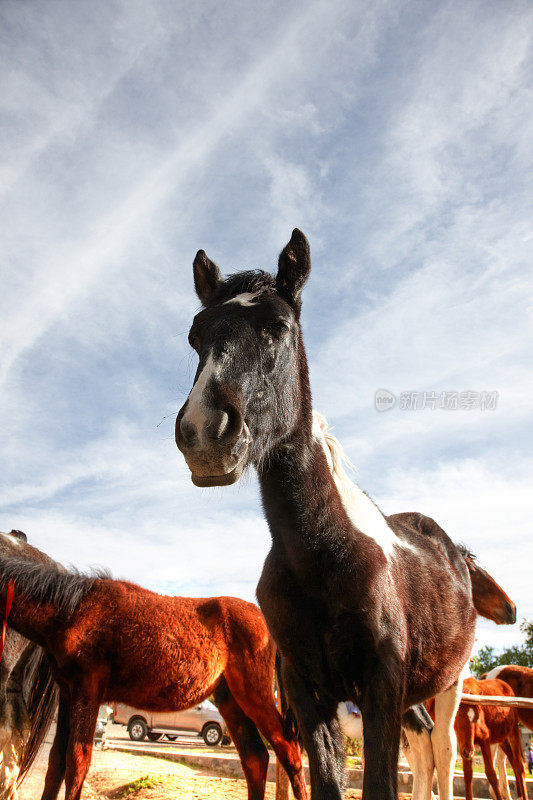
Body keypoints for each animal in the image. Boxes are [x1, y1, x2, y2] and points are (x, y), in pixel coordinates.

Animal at [0, 532, 306, 800]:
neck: (73, 611)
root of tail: (263, 619)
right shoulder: (68, 694)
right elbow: (56, 765)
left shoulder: (87, 692)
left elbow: (77, 764)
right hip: (230, 699)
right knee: (256, 757)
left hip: (254, 695)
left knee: (288, 750)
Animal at [176, 228, 490, 796]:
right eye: (195, 337)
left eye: (279, 328)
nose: (204, 431)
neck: (321, 549)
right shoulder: (307, 690)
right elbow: (327, 782)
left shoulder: (381, 685)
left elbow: (381, 783)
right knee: (425, 752)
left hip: (449, 684)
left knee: (443, 751)